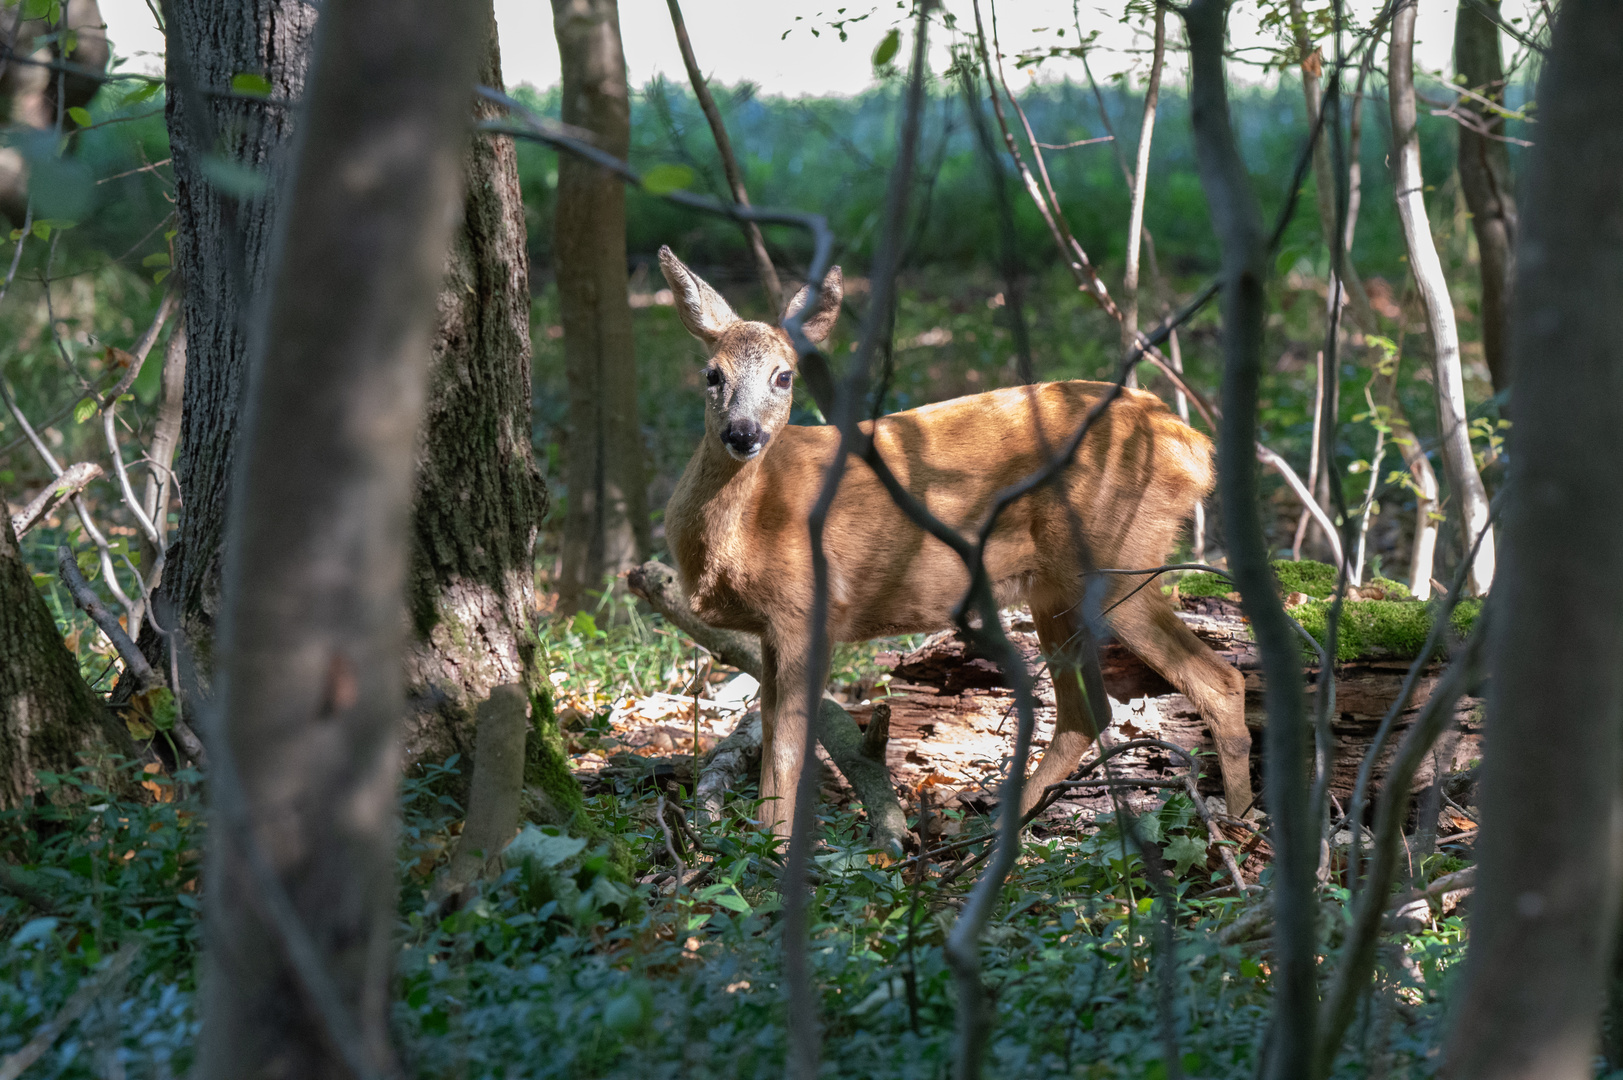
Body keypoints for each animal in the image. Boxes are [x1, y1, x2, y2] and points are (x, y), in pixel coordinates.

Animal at [652, 248, 1246, 838]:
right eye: (712, 374)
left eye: (783, 376)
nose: (743, 433)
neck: (752, 524)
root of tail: (1195, 449)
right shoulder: (772, 630)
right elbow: (775, 736)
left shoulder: (805, 610)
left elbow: (787, 752)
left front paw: (774, 847)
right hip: (1056, 589)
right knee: (1087, 713)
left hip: (1118, 559)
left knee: (1220, 680)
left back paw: (1238, 828)